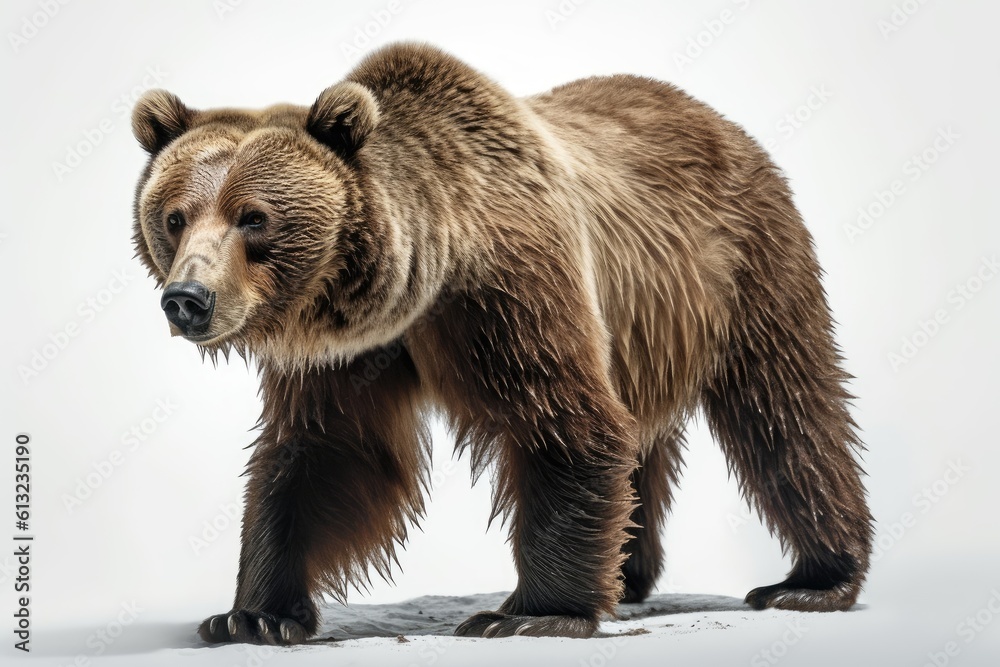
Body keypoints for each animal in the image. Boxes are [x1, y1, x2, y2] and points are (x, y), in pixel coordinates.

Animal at [130, 42, 873, 644]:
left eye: (254, 218)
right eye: (174, 215)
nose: (187, 298)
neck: (421, 278)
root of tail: (718, 118)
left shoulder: (507, 285)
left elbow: (564, 421)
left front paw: (528, 612)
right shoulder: (350, 349)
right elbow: (327, 451)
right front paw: (253, 613)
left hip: (744, 266)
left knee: (786, 409)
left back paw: (813, 578)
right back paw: (629, 573)